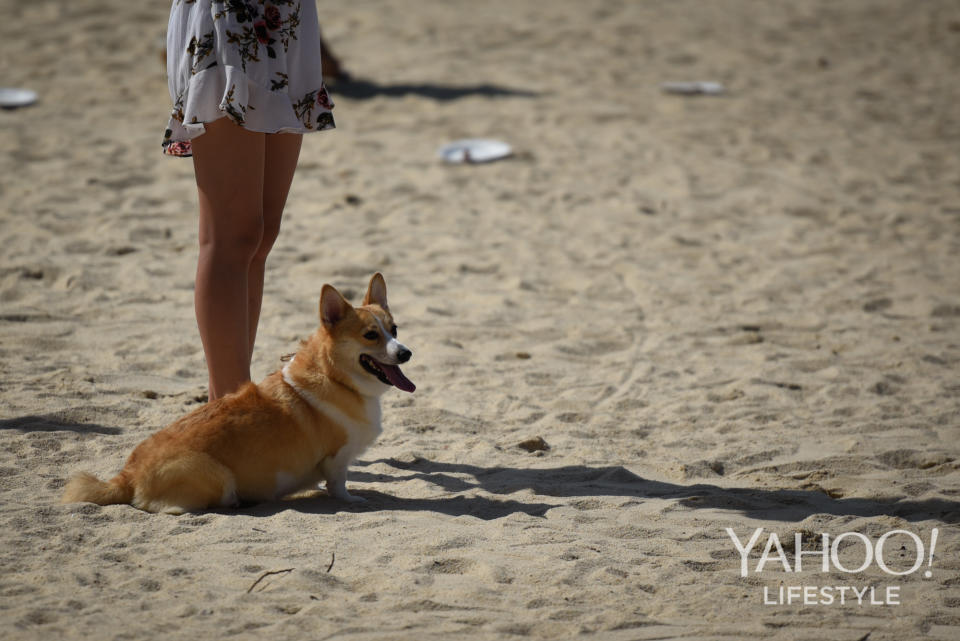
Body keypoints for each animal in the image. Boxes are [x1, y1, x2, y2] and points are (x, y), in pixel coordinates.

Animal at [60, 272, 412, 512]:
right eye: (370, 335)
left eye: (394, 329)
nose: (406, 353)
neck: (336, 377)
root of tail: (127, 477)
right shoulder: (337, 459)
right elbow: (338, 485)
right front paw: (355, 499)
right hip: (218, 478)